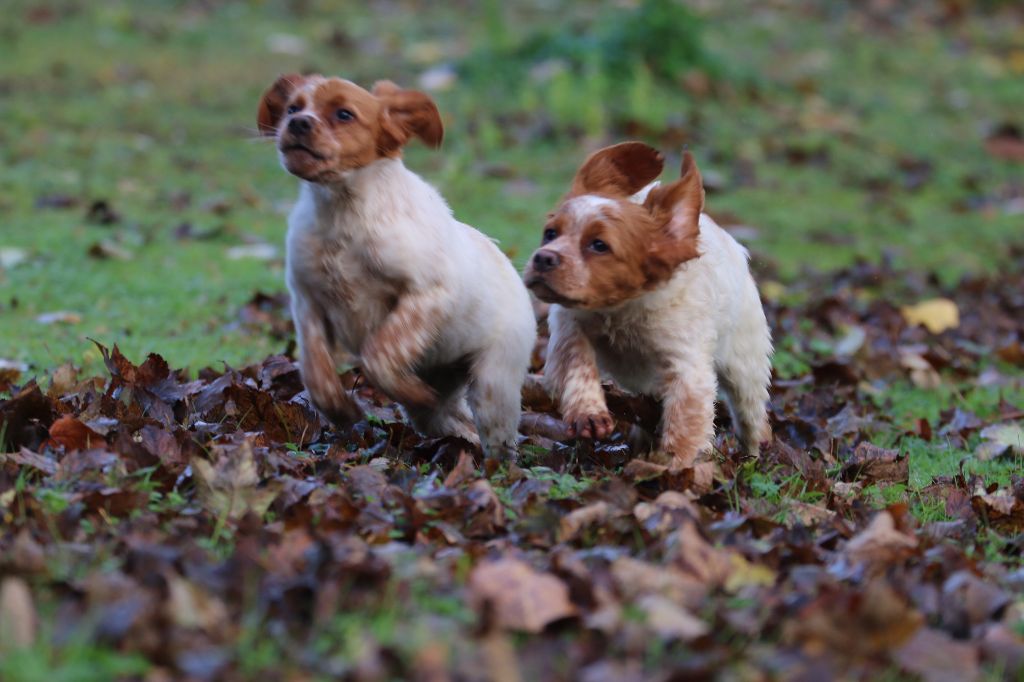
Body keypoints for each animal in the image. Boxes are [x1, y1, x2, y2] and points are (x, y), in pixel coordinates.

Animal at [258, 73, 536, 456]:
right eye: (292, 108)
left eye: (344, 114)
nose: (298, 123)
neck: (342, 213)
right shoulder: (307, 300)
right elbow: (314, 370)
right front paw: (339, 408)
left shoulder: (429, 292)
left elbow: (379, 353)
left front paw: (405, 389)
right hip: (443, 380)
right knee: (449, 418)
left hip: (494, 384)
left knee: (497, 438)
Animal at [524, 140, 770, 464]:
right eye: (550, 234)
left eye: (599, 245)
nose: (543, 258)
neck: (622, 309)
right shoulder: (568, 327)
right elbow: (577, 359)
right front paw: (589, 413)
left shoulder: (688, 369)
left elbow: (685, 425)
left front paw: (675, 465)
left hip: (745, 369)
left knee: (750, 417)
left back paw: (753, 456)